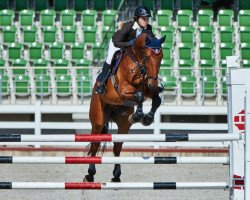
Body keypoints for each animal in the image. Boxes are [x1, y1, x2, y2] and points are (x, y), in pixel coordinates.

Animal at [84, 33, 166, 183]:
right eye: (147, 56)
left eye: (161, 56)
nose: (153, 84)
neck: (137, 61)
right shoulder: (123, 89)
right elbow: (139, 95)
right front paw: (138, 115)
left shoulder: (147, 89)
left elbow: (154, 99)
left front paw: (146, 118)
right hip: (98, 120)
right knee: (95, 144)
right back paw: (90, 174)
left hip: (123, 125)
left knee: (117, 147)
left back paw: (116, 175)